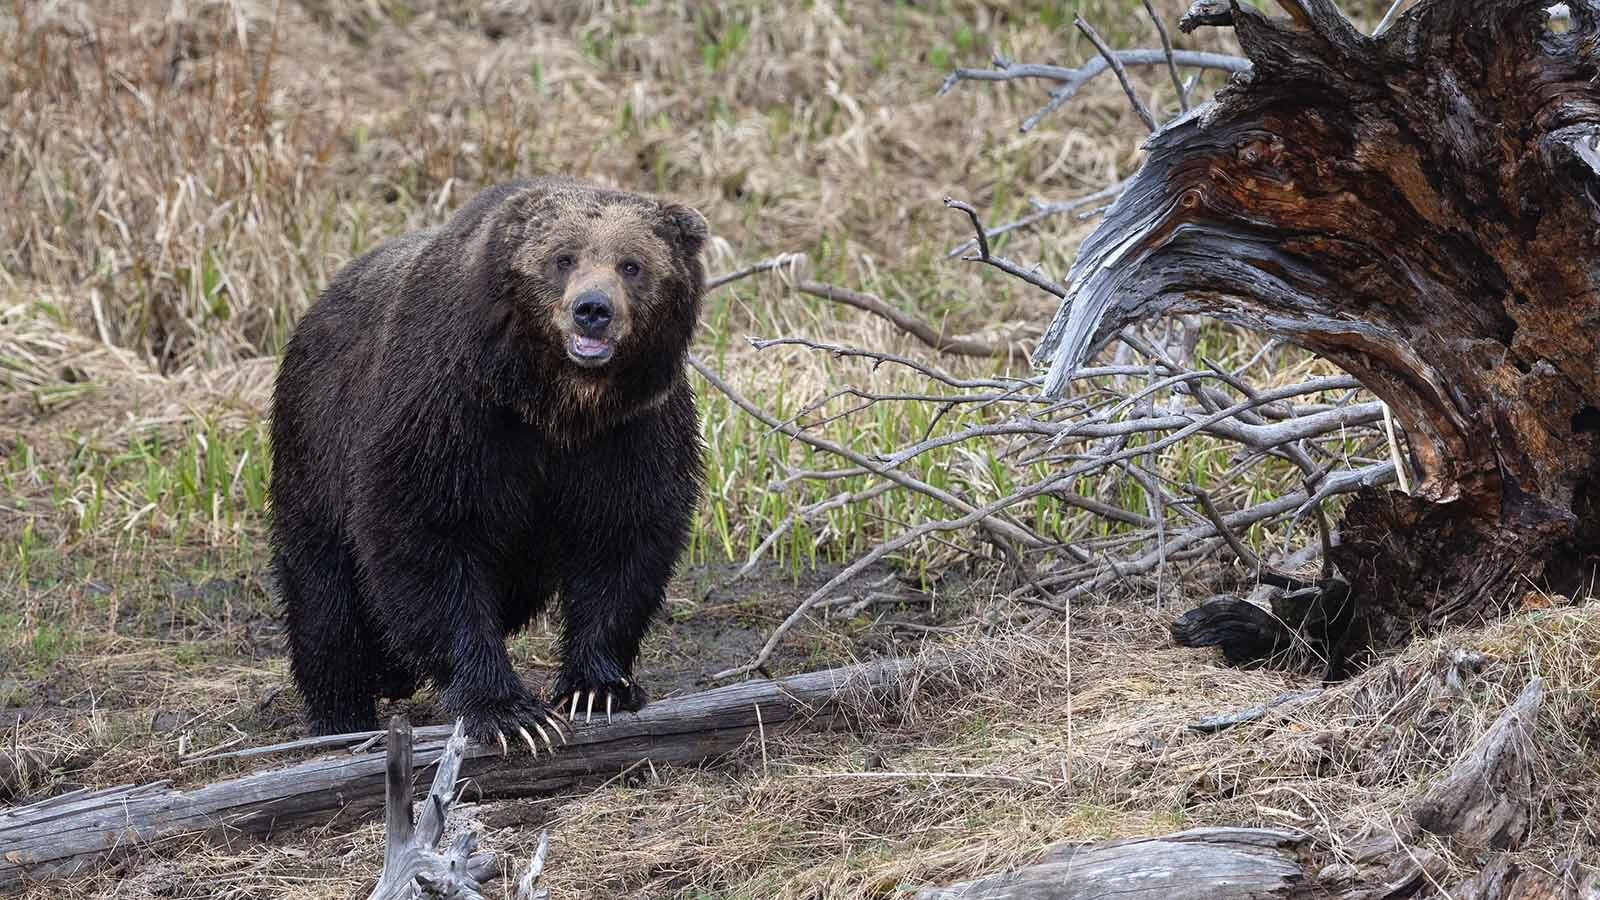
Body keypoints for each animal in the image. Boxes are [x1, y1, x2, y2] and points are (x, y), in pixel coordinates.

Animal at [268, 177, 708, 750]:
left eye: (631, 264)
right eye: (563, 258)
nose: (593, 309)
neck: (554, 405)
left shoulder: (631, 432)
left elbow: (624, 538)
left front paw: (596, 687)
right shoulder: (448, 413)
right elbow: (424, 539)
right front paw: (509, 713)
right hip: (316, 441)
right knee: (324, 594)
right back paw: (340, 715)